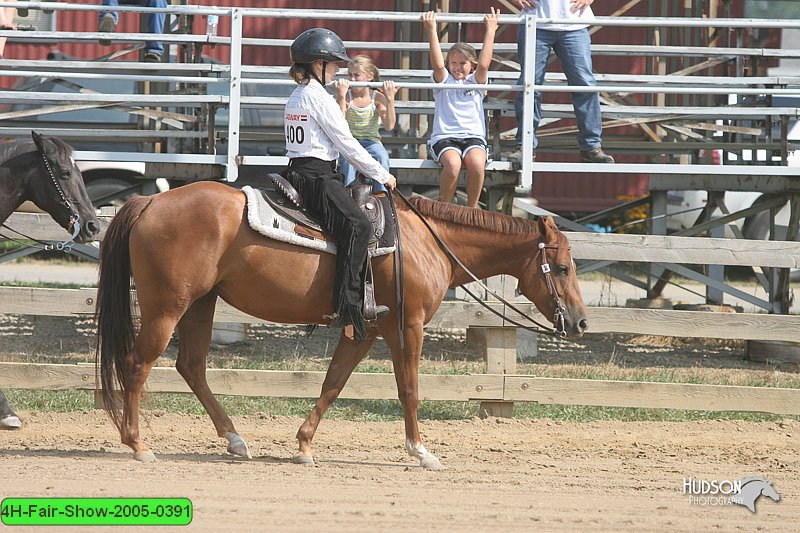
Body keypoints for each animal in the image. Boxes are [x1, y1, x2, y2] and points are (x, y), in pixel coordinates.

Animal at [98, 182, 588, 466]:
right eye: (563, 267)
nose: (581, 322)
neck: (423, 242)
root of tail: (149, 201)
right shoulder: (408, 326)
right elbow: (409, 389)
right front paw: (421, 451)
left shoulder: (367, 330)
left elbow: (334, 382)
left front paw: (304, 444)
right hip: (167, 307)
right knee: (137, 364)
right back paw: (138, 444)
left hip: (201, 303)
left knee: (191, 366)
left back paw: (235, 440)